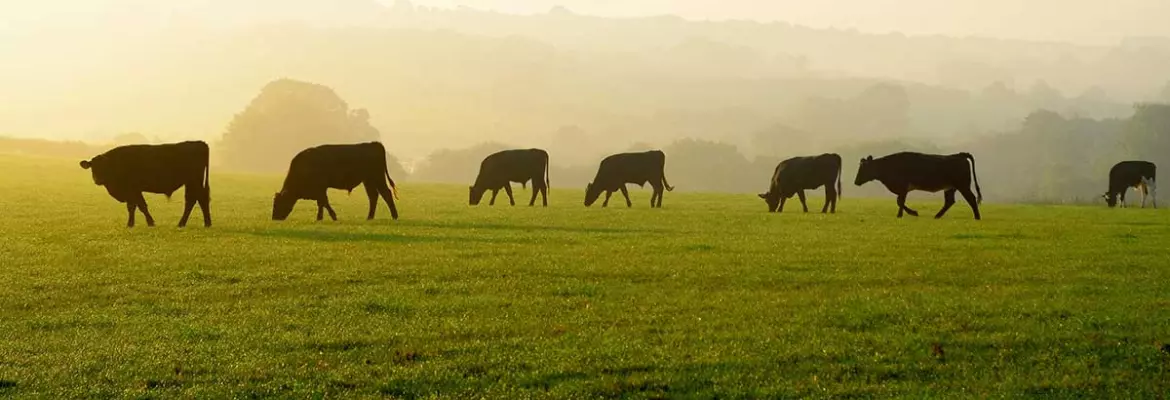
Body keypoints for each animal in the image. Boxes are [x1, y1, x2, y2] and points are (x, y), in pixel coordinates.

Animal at [78, 140, 212, 228]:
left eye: (103, 166)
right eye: (93, 168)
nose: (97, 180)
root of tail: (200, 143)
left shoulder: (133, 190)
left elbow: (139, 206)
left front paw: (144, 223)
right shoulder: (134, 191)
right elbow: (135, 206)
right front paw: (134, 223)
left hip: (194, 181)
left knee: (196, 199)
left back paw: (188, 223)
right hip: (191, 183)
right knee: (195, 200)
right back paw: (202, 223)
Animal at [271, 141, 400, 222]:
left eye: (278, 203)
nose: (274, 218)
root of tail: (374, 144)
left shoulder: (320, 189)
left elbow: (324, 202)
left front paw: (331, 217)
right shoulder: (320, 190)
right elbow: (322, 203)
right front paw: (320, 218)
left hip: (377, 178)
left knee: (386, 194)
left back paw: (394, 216)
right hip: (368, 181)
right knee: (373, 196)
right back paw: (369, 217)